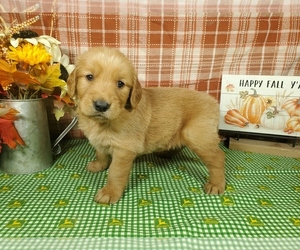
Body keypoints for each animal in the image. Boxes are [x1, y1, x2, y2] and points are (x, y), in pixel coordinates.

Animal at [67, 46, 224, 203]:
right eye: (89, 77)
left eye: (120, 84)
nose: (101, 106)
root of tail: (212, 100)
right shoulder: (101, 141)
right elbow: (101, 153)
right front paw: (99, 165)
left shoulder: (124, 149)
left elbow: (115, 172)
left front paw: (110, 192)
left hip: (197, 136)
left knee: (218, 157)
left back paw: (216, 184)